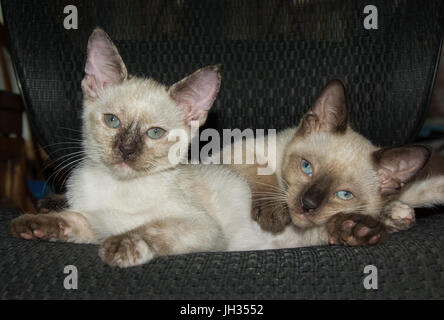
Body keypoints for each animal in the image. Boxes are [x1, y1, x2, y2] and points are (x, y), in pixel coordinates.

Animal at [225, 80, 434, 245]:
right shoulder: (236, 150)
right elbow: (261, 171)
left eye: (344, 194)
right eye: (306, 167)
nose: (307, 204)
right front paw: (273, 211)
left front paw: (381, 219)